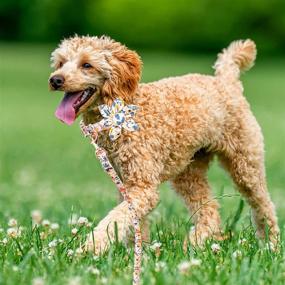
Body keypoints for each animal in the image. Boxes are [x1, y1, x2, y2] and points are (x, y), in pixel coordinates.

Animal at [48, 35, 278, 253]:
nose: (55, 80)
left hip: (245, 162)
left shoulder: (143, 186)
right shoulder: (127, 182)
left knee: (264, 205)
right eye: (60, 63)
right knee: (210, 210)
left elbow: (116, 219)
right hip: (189, 170)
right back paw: (194, 245)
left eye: (87, 65)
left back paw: (271, 244)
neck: (119, 112)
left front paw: (90, 248)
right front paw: (138, 252)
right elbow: (134, 223)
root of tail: (226, 81)